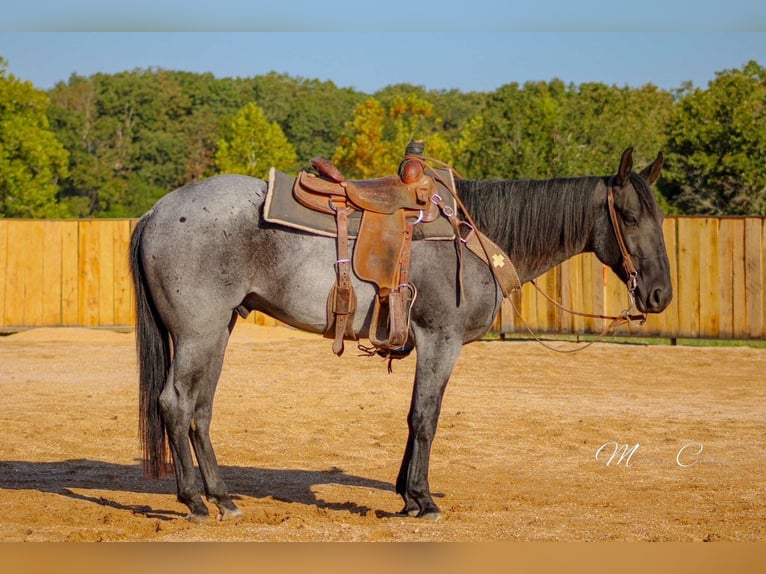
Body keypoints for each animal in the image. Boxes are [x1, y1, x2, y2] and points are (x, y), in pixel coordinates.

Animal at [129, 147, 672, 522]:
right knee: (175, 403)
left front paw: (405, 494)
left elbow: (417, 416)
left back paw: (223, 497)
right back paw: (195, 501)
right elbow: (425, 417)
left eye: (661, 216)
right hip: (198, 333)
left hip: (217, 331)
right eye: (628, 216)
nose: (660, 294)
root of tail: (157, 211)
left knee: (199, 410)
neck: (473, 235)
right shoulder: (441, 339)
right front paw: (423, 499)